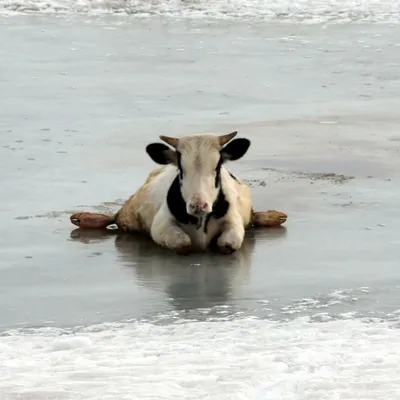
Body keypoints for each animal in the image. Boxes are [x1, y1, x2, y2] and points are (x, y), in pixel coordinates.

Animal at [69, 133, 288, 255]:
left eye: (217, 166)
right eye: (181, 168)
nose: (198, 205)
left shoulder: (233, 221)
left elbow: (228, 243)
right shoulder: (160, 226)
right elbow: (182, 242)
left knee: (255, 217)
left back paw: (272, 217)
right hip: (130, 210)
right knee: (115, 217)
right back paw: (85, 218)